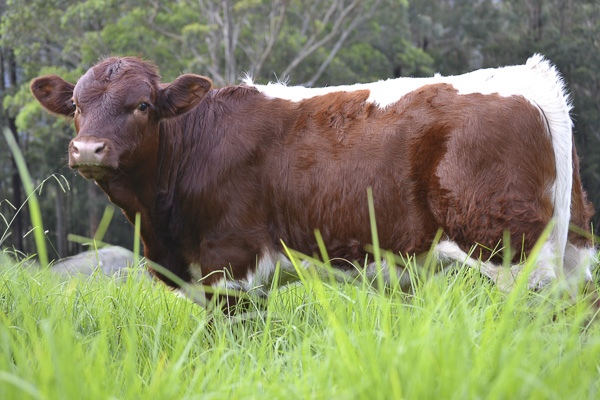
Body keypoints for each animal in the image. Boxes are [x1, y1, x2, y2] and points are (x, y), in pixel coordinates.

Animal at [30, 55, 596, 312]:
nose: (88, 150)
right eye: (76, 104)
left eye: (143, 105)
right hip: (572, 250)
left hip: (511, 253)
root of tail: (527, 77)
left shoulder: (230, 268)